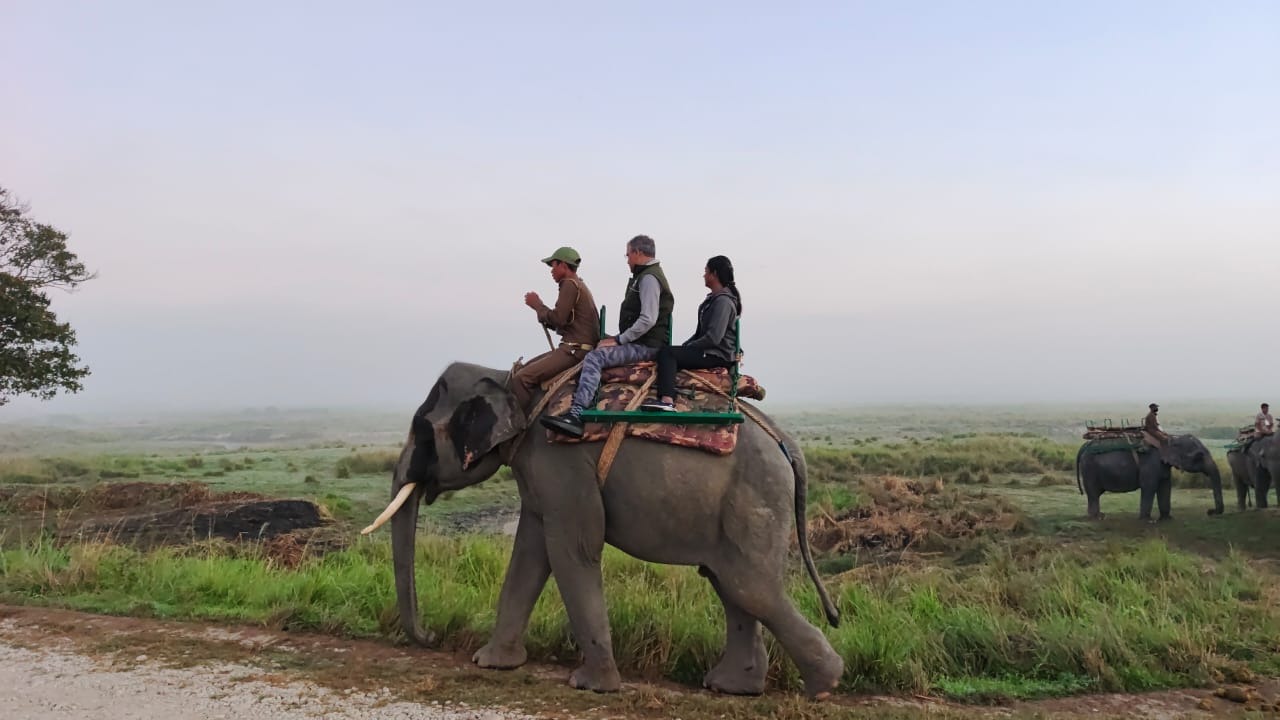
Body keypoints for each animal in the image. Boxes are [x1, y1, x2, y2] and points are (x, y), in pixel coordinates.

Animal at [368, 361, 849, 696]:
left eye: (422, 433)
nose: (431, 637)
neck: (513, 379)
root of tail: (788, 445)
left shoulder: (561, 461)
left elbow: (572, 550)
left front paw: (590, 685)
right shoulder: (539, 470)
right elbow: (531, 551)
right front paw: (491, 663)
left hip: (754, 500)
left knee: (751, 587)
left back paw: (825, 688)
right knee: (729, 583)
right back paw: (732, 687)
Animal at [1075, 427, 1223, 517]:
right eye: (1199, 456)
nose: (1210, 511)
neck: (1169, 438)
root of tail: (1084, 446)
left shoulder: (1163, 465)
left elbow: (1165, 487)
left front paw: (1167, 519)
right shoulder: (1151, 462)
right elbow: (1149, 486)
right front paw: (1147, 520)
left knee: (1094, 494)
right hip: (1089, 467)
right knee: (1093, 493)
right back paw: (1098, 517)